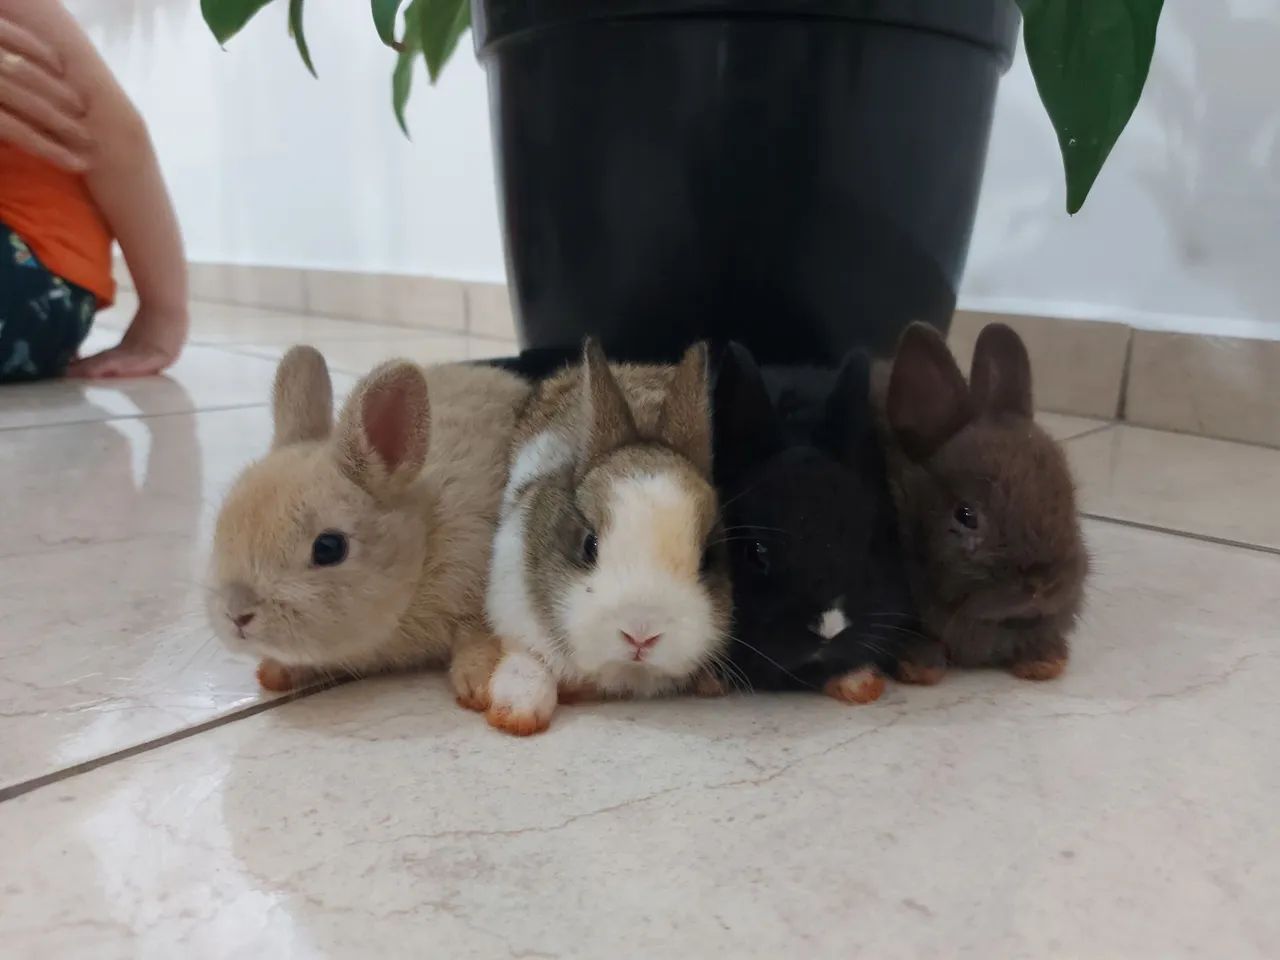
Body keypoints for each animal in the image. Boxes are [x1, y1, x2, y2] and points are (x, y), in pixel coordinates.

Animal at [207, 346, 531, 706]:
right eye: (221, 527)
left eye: (329, 548)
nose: (236, 614)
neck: (424, 542)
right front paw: (275, 673)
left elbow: (478, 638)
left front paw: (480, 686)